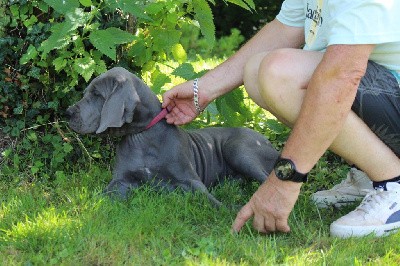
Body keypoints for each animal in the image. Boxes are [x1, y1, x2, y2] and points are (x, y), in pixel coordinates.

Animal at [66, 67, 278, 207]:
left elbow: (208, 199)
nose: (67, 113)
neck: (142, 136)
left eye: (97, 94)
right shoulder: (122, 180)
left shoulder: (190, 180)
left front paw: (228, 210)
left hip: (238, 148)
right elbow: (105, 193)